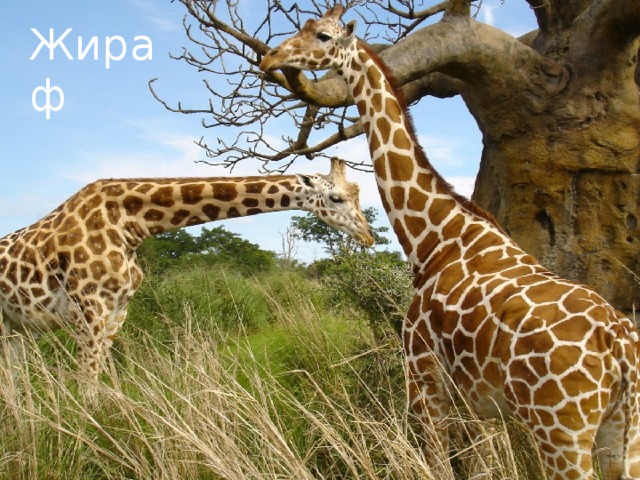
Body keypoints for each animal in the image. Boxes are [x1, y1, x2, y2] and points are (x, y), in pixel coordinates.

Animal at [0, 157, 374, 386]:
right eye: (338, 198)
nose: (368, 236)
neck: (130, 225)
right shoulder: (89, 308)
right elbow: (87, 384)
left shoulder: (117, 311)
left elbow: (103, 381)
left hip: (18, 328)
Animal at [260, 6, 640, 480]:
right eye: (304, 27)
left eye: (323, 36)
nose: (270, 57)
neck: (435, 237)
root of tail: (620, 347)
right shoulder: (478, 401)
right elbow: (480, 465)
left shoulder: (423, 376)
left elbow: (439, 464)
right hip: (623, 433)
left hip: (561, 431)